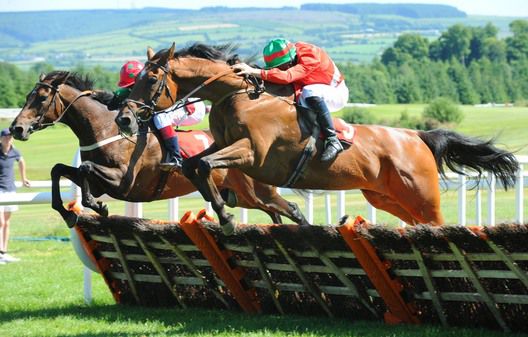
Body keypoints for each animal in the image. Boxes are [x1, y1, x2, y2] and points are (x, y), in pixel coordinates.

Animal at [9, 71, 310, 228]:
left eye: (42, 98)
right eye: (27, 96)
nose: (16, 129)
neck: (105, 129)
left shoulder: (124, 181)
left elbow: (84, 168)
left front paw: (97, 206)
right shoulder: (101, 181)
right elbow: (59, 169)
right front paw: (70, 212)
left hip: (257, 191)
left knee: (292, 209)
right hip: (241, 196)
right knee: (277, 214)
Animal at [116, 42, 520, 234]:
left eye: (151, 79)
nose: (124, 117)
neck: (238, 96)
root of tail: (418, 136)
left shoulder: (253, 153)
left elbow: (202, 165)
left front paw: (227, 217)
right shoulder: (224, 146)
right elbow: (196, 165)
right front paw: (225, 212)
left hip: (421, 195)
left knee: (438, 224)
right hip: (388, 197)